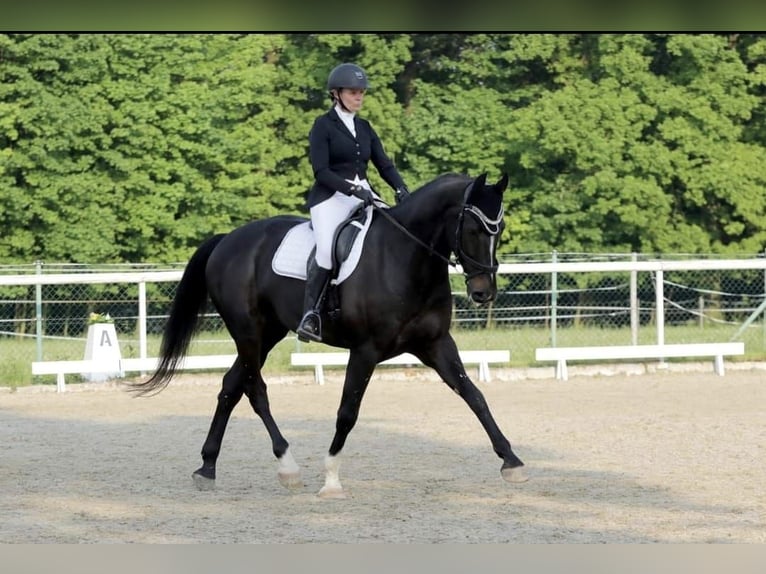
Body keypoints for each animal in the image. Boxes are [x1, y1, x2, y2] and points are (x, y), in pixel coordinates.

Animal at [132, 172, 528, 500]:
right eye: (473, 229)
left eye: (500, 228)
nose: (483, 293)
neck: (406, 259)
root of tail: (227, 239)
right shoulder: (365, 350)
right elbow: (347, 413)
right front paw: (332, 479)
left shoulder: (436, 344)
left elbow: (474, 395)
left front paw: (512, 461)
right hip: (247, 332)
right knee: (255, 390)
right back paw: (287, 467)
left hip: (269, 332)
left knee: (232, 384)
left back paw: (207, 467)